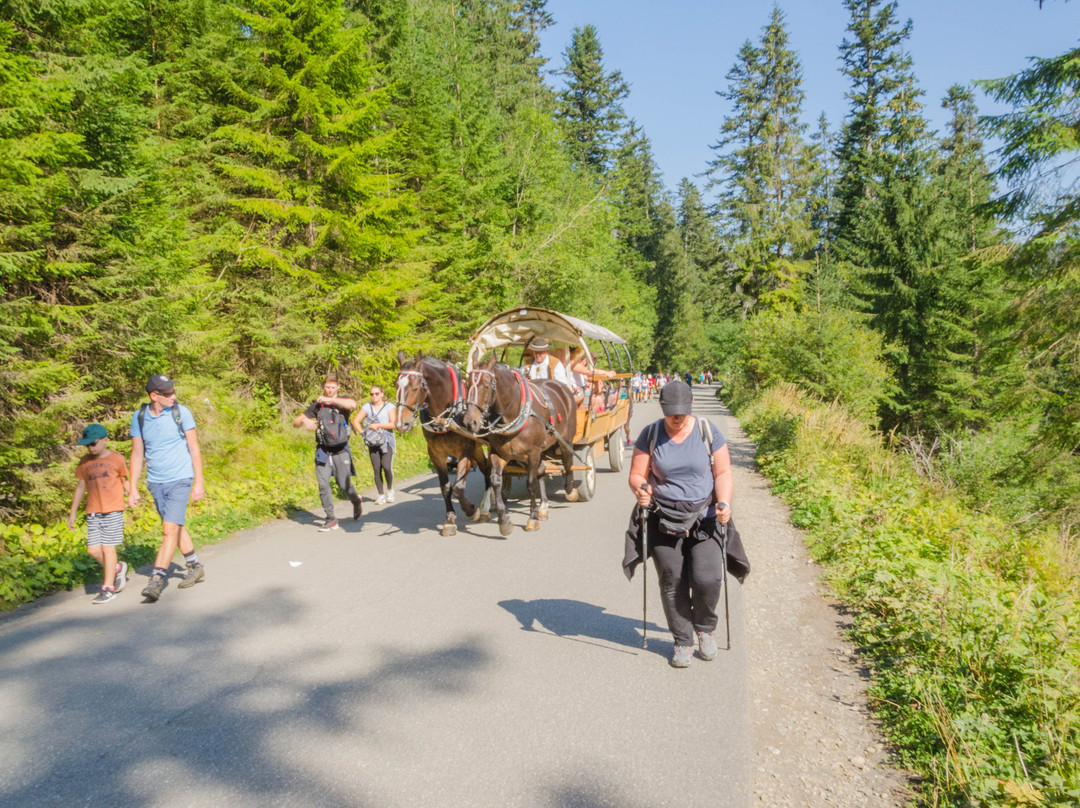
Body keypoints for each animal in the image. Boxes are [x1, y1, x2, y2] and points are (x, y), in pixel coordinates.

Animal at [397, 347, 494, 533]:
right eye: (396, 385)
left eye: (415, 387)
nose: (401, 423)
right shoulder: (436, 454)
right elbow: (445, 487)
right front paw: (450, 519)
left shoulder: (466, 450)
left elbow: (458, 488)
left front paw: (472, 511)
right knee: (487, 468)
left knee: (488, 469)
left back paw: (485, 507)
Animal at [464, 358, 583, 535]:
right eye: (466, 385)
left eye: (486, 386)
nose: (469, 422)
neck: (513, 414)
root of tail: (562, 387)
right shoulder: (498, 453)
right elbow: (496, 481)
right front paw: (504, 521)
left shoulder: (532, 452)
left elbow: (531, 484)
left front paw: (532, 518)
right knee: (542, 470)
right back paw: (544, 506)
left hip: (565, 440)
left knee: (568, 462)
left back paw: (570, 491)